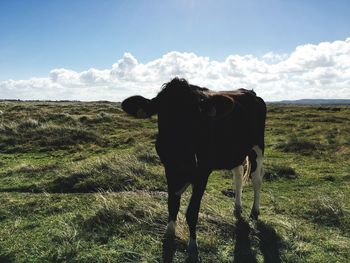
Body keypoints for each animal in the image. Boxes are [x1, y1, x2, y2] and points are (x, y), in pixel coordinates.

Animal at [121, 78, 266, 256]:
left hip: (257, 147)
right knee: (238, 176)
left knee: (257, 179)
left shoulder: (202, 172)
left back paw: (254, 211)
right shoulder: (169, 170)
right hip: (235, 152)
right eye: (162, 113)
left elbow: (192, 211)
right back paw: (237, 208)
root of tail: (250, 92)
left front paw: (192, 244)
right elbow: (172, 205)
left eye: (196, 115)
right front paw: (169, 236)